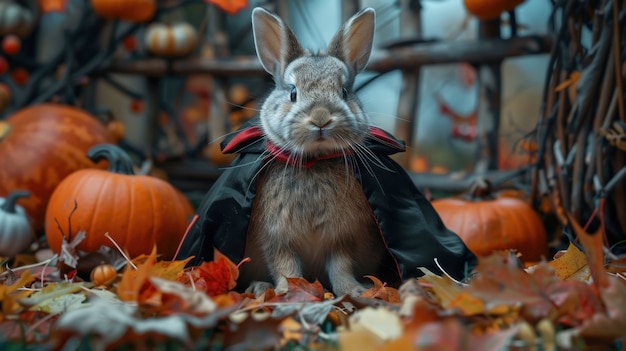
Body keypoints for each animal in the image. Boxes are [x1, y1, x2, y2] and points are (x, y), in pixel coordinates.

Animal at [236, 6, 392, 296]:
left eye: (344, 91)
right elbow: (285, 267)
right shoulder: (276, 238)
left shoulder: (342, 237)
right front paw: (288, 292)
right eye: (293, 93)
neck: (314, 161)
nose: (321, 118)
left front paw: (352, 290)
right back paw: (259, 288)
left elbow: (341, 266)